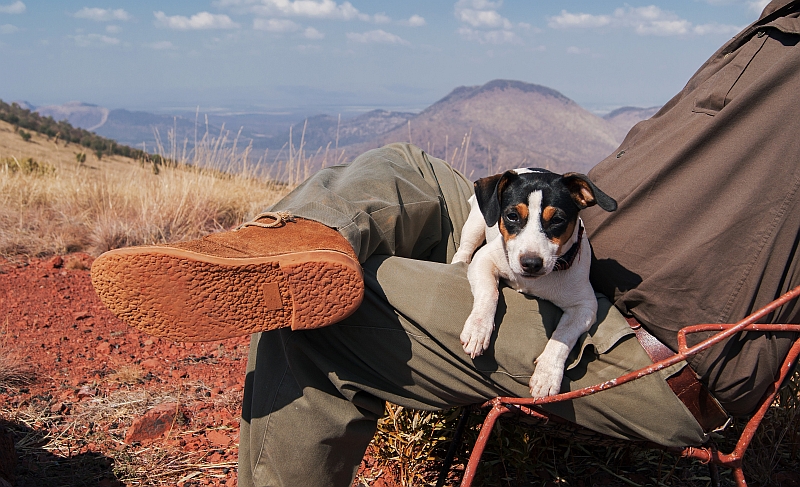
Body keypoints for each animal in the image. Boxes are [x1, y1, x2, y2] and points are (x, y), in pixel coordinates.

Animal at [450, 170, 620, 398]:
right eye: (512, 216)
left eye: (557, 220)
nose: (531, 263)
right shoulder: (484, 259)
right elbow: (489, 293)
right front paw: (478, 330)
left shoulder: (585, 306)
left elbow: (563, 336)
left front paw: (547, 375)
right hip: (476, 224)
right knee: (464, 250)